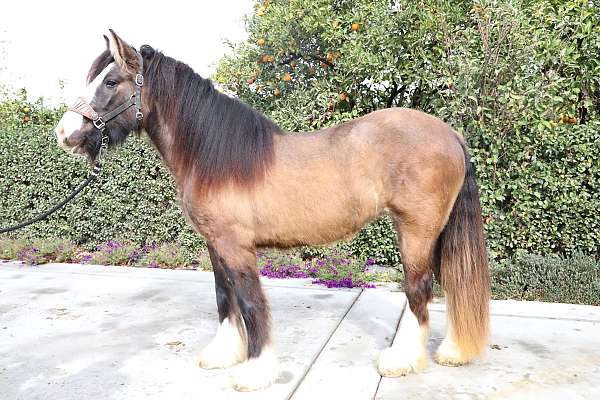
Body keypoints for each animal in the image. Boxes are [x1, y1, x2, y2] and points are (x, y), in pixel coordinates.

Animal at [54, 30, 490, 390]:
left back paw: (401, 361)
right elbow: (224, 298)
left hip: (415, 230)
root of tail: (451, 134)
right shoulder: (216, 245)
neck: (214, 155)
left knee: (418, 288)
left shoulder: (237, 247)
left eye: (111, 81)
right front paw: (223, 355)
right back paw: (451, 351)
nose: (65, 134)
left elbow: (249, 303)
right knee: (446, 284)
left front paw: (255, 372)